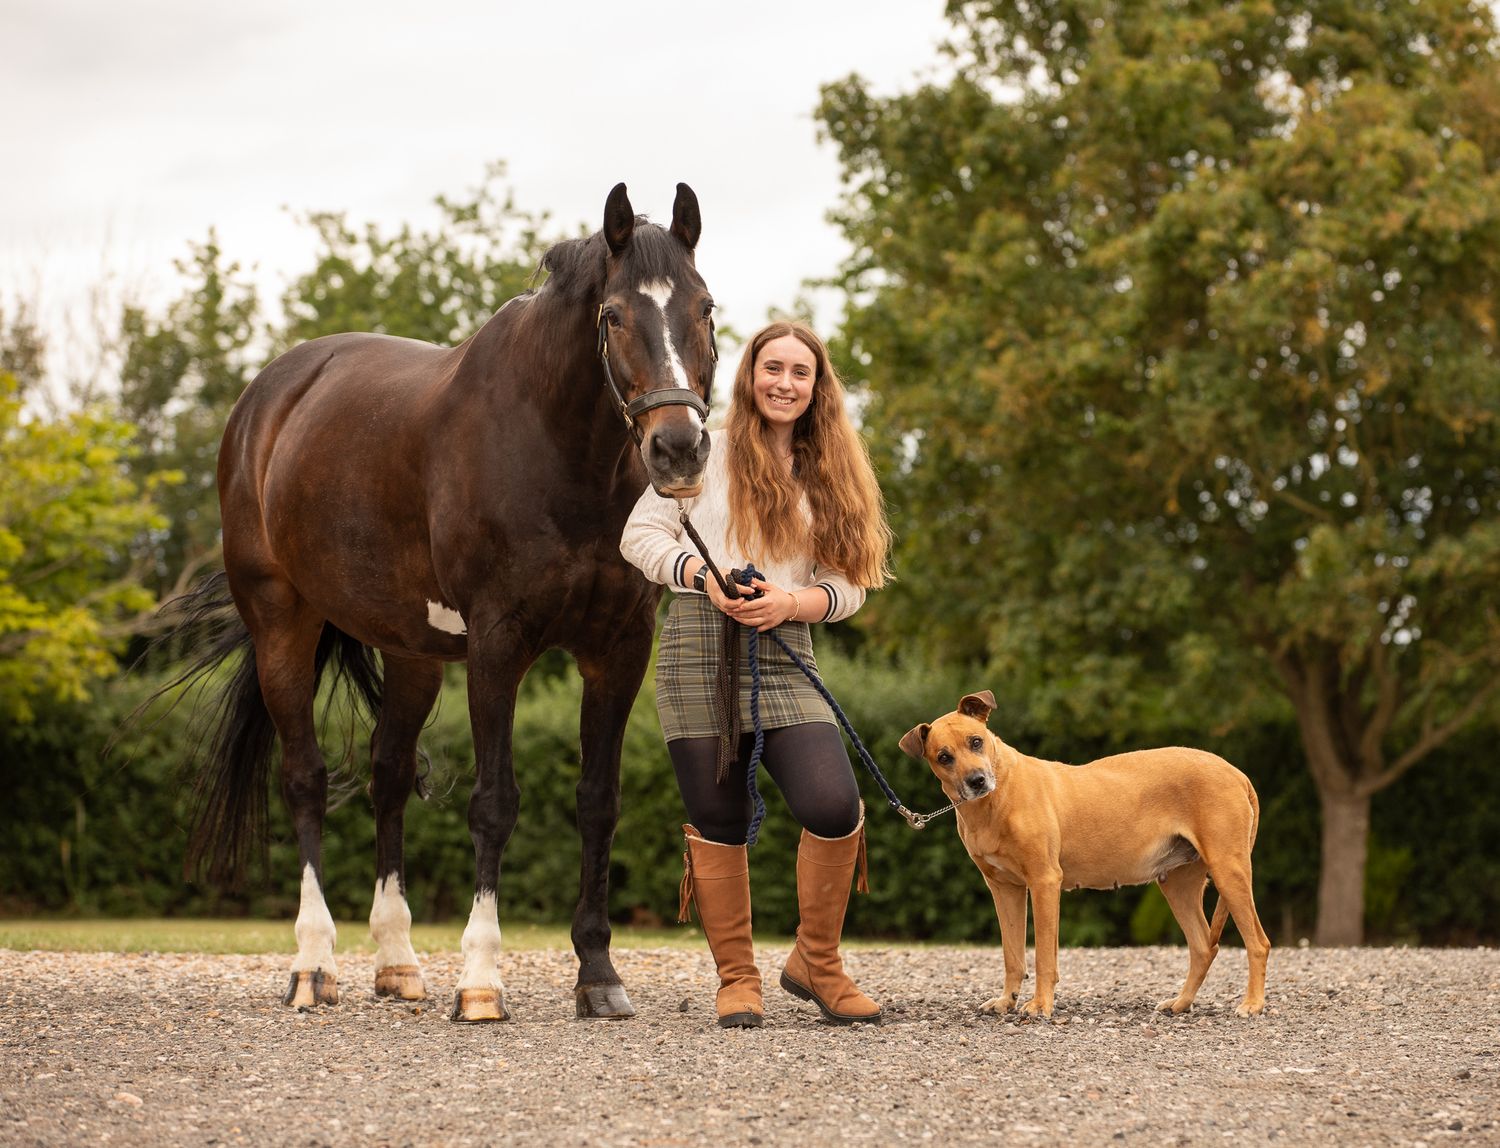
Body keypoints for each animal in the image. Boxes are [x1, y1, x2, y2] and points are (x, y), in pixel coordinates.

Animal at [162, 183, 714, 1022]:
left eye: (706, 308)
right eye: (615, 315)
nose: (679, 449)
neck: (556, 449)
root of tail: (269, 396)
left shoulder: (617, 649)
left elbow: (599, 802)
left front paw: (597, 975)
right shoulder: (497, 645)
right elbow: (494, 802)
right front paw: (481, 980)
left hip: (411, 654)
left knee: (387, 776)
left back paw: (397, 963)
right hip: (282, 625)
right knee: (306, 780)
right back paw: (313, 965)